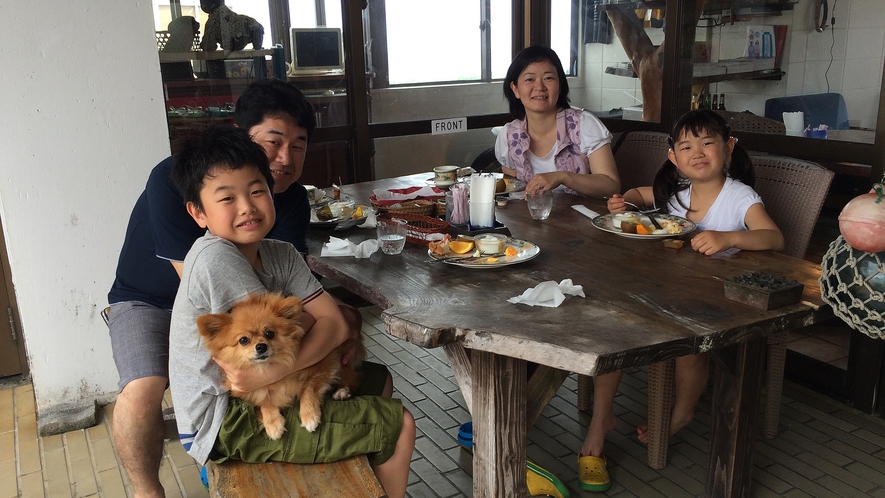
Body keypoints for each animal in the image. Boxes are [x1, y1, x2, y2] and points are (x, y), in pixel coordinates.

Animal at [198, 292, 362, 440]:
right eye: (243, 340)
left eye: (269, 334)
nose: (261, 346)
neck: (265, 369)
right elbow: (264, 401)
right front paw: (272, 423)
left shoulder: (326, 361)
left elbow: (308, 387)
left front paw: (309, 415)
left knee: (351, 376)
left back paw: (342, 391)